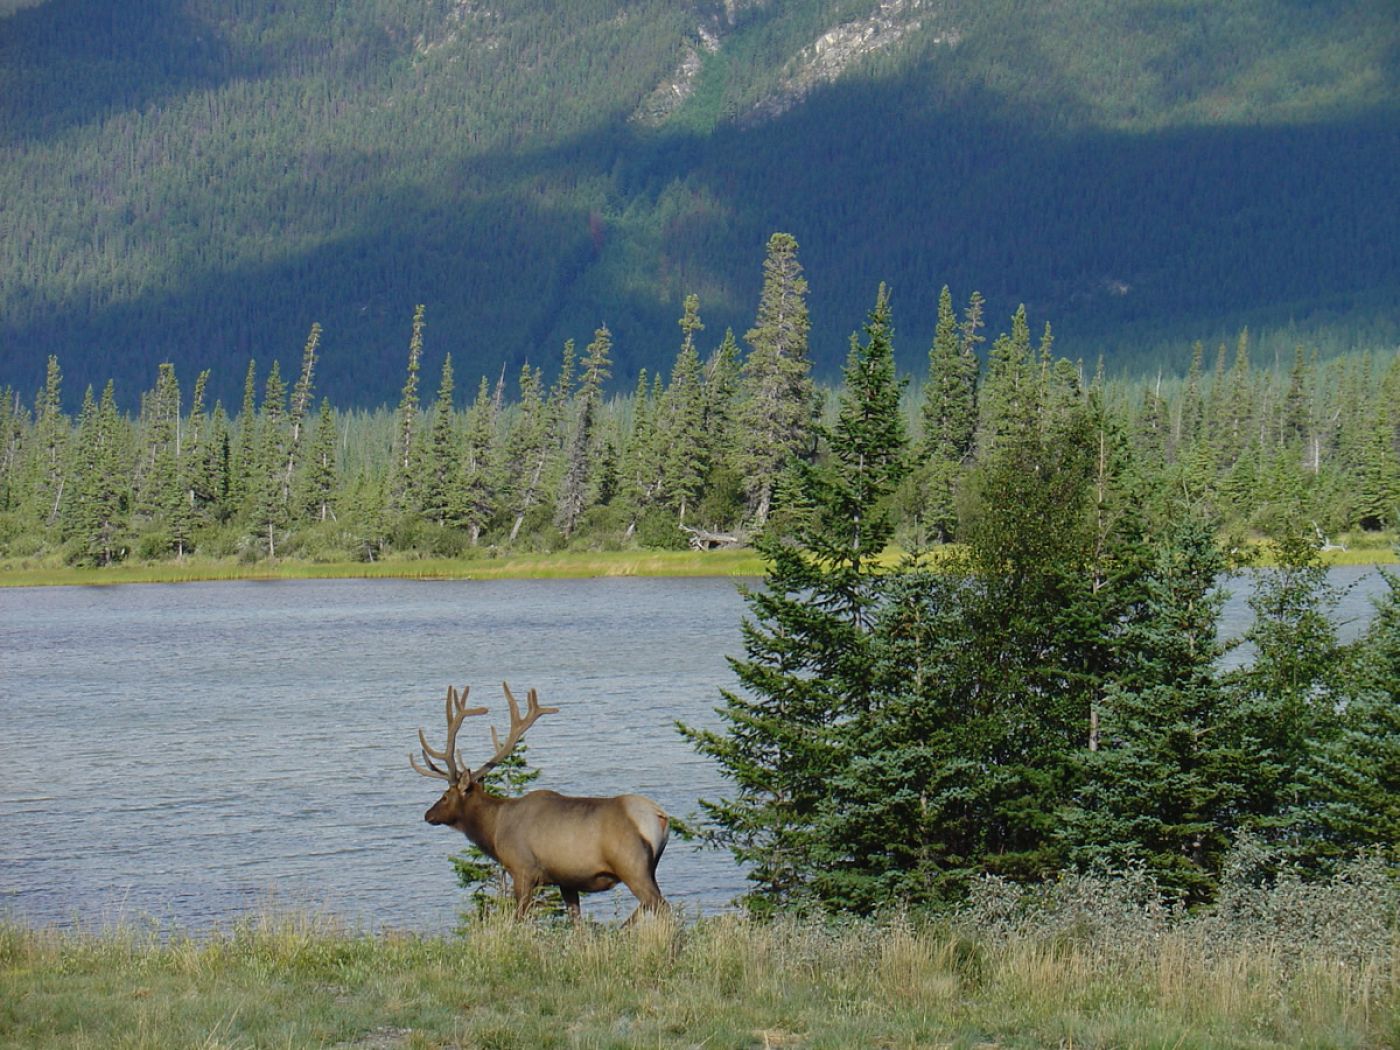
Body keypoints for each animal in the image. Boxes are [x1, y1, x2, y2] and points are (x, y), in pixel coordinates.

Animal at [408, 683, 669, 918]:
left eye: (444, 796)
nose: (428, 814)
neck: (494, 829)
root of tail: (660, 816)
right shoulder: (566, 880)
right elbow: (577, 922)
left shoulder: (523, 869)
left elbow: (521, 917)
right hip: (651, 869)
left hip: (632, 866)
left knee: (662, 907)